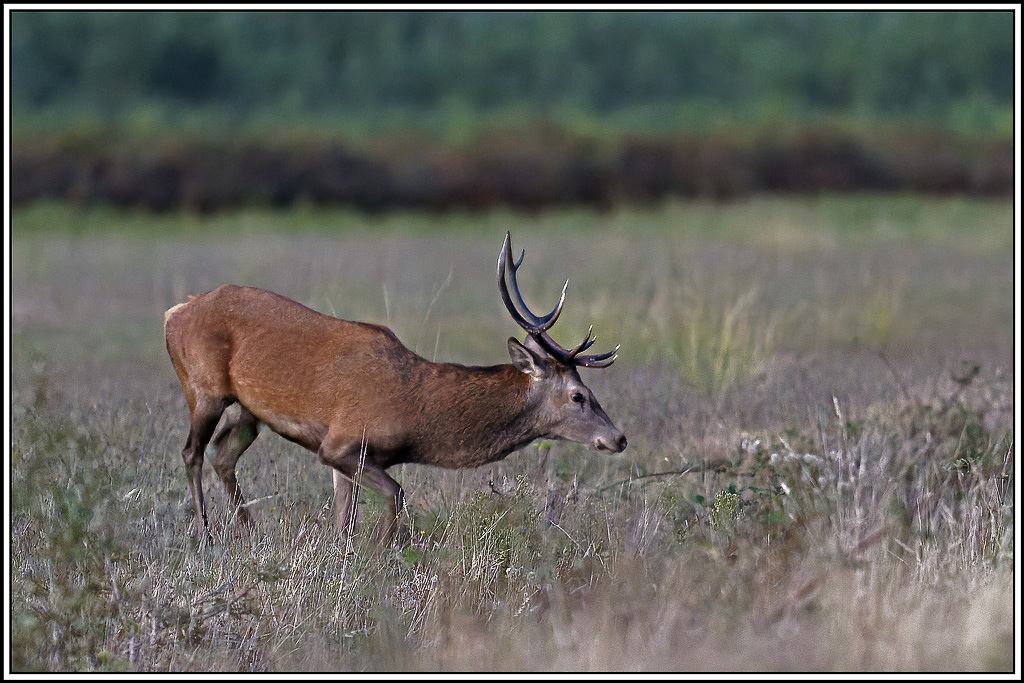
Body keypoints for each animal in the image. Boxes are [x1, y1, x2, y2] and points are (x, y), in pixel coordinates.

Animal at [164, 232, 626, 545]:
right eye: (578, 396)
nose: (619, 438)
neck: (415, 417)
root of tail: (175, 311)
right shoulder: (341, 443)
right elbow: (396, 496)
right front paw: (380, 555)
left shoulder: (343, 456)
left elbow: (344, 522)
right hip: (202, 386)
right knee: (192, 452)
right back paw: (206, 533)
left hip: (249, 410)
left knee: (223, 454)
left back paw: (248, 530)